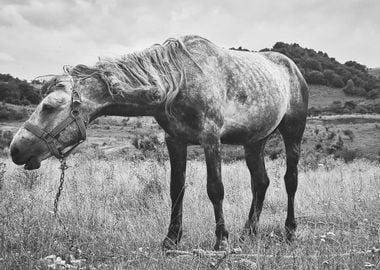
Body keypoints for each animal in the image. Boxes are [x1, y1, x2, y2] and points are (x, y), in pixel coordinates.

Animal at [9, 34, 308, 250]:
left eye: (49, 106)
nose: (16, 149)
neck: (178, 81)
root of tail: (293, 69)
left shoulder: (211, 139)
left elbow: (215, 189)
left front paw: (222, 240)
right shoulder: (174, 141)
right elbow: (176, 189)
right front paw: (171, 240)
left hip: (293, 134)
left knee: (291, 180)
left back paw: (289, 231)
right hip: (254, 142)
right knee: (261, 183)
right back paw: (248, 233)